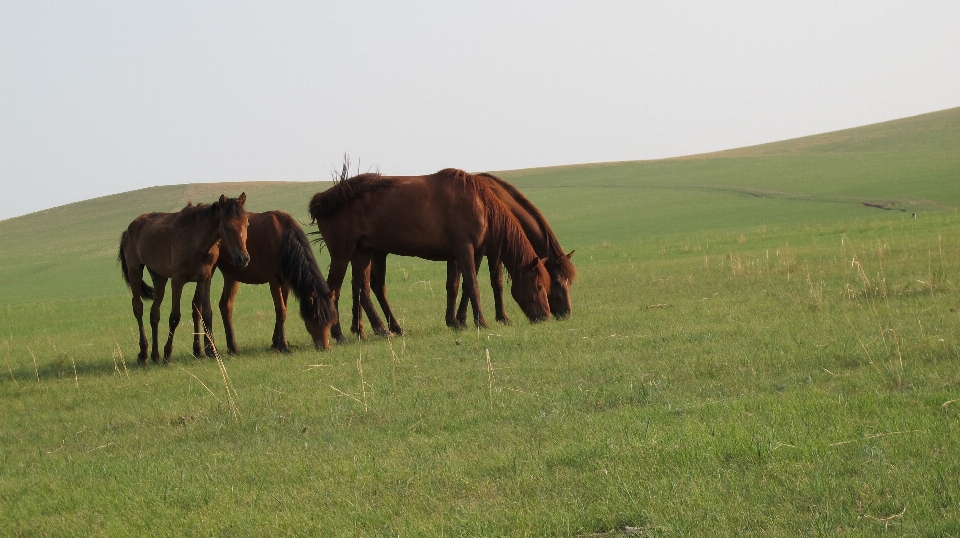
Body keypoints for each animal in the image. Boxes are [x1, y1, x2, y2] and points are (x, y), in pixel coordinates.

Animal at [119, 193, 251, 364]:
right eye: (226, 227)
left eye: (246, 224)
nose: (243, 258)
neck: (196, 241)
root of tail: (129, 229)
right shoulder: (177, 280)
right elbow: (174, 317)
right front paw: (168, 354)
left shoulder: (204, 278)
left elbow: (207, 314)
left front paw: (212, 351)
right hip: (135, 271)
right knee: (138, 308)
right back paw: (143, 354)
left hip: (159, 277)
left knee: (154, 314)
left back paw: (155, 355)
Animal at [190, 209, 338, 352]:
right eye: (313, 319)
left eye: (331, 319)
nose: (325, 347)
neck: (283, 239)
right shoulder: (274, 281)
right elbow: (281, 310)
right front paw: (283, 345)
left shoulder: (285, 282)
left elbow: (283, 309)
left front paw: (276, 343)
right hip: (209, 271)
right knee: (198, 304)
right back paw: (201, 349)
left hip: (231, 275)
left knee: (225, 305)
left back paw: (232, 347)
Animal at [312, 166, 552, 340]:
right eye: (539, 286)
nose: (546, 316)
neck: (480, 203)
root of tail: (324, 199)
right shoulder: (465, 249)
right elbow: (473, 285)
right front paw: (481, 321)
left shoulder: (460, 254)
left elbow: (456, 286)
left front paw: (456, 321)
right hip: (343, 255)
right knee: (334, 290)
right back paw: (340, 334)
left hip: (363, 252)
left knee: (363, 289)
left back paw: (382, 329)